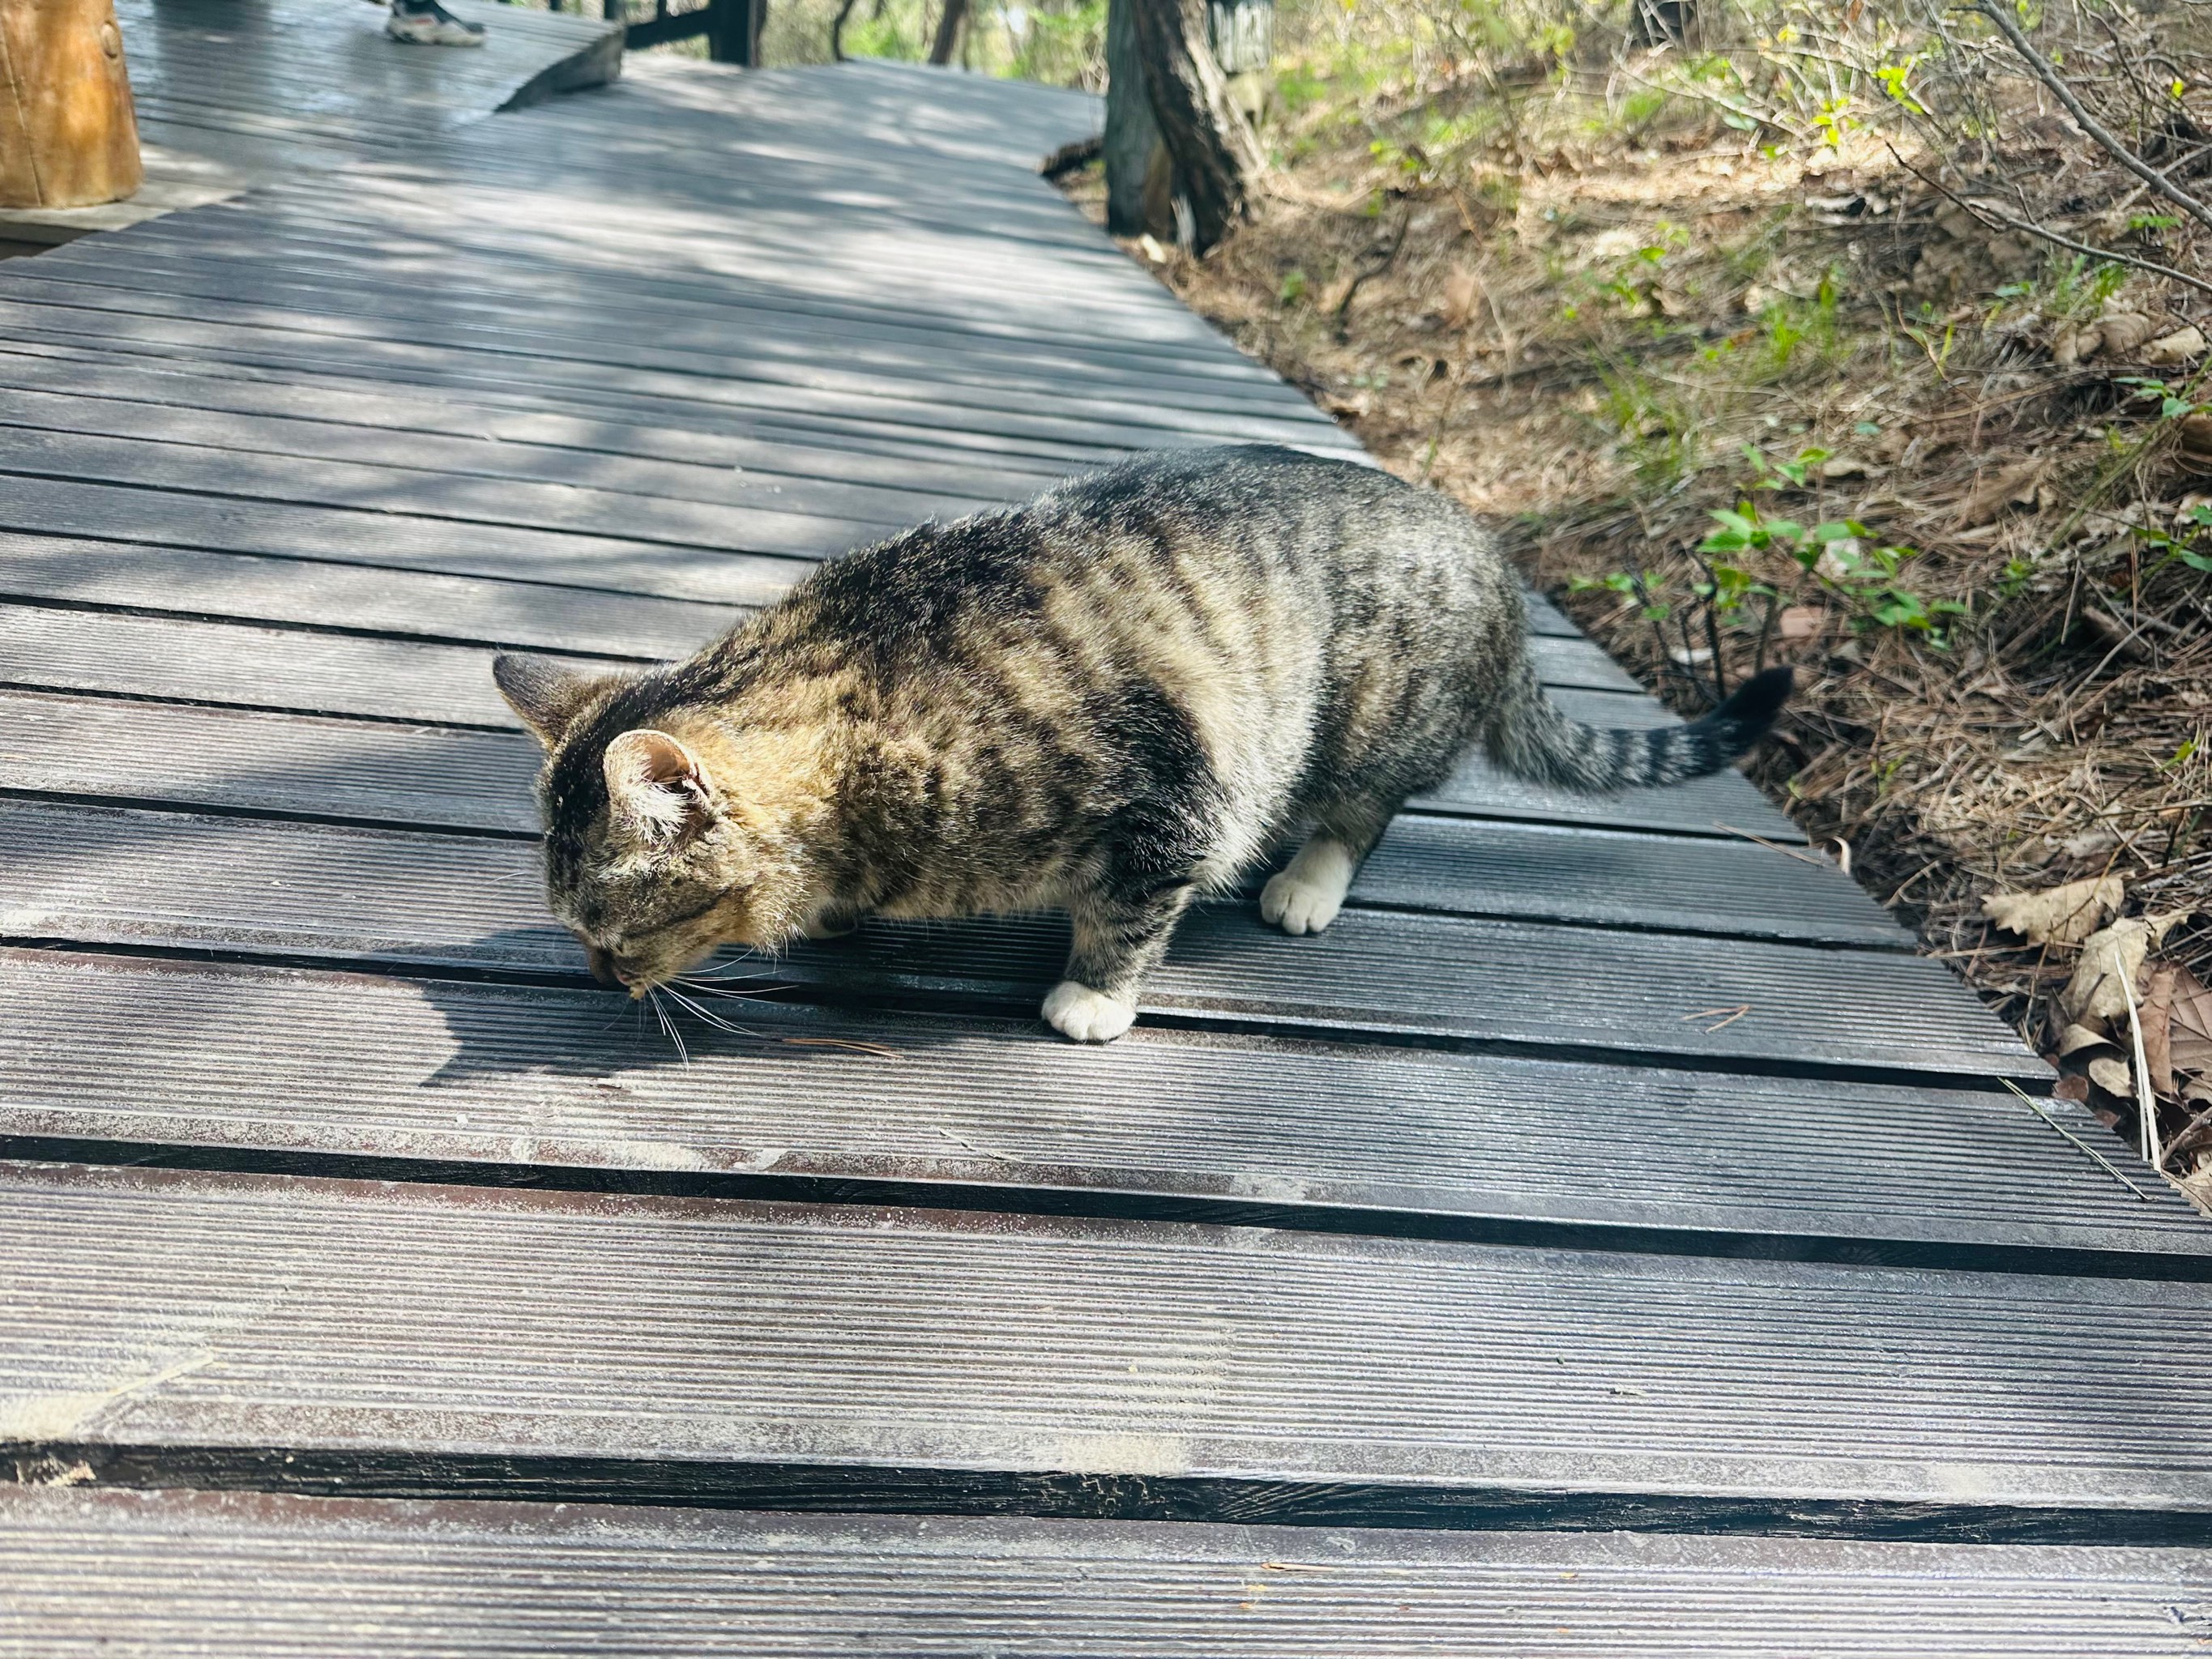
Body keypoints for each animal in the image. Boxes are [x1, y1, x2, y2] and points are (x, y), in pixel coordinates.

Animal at [493, 442, 1787, 1039]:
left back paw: (1309, 879)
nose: (596, 978)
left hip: (1369, 712)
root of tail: (1490, 553)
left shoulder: (1173, 790)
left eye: (610, 931)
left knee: (1363, 810)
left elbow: (1128, 911)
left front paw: (1093, 996)